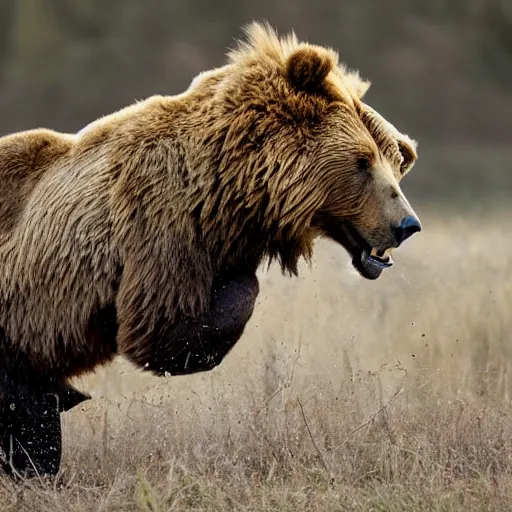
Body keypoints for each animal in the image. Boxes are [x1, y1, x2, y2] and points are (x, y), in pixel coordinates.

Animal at [0, 22, 420, 478]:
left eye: (396, 161)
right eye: (363, 161)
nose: (406, 225)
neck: (231, 191)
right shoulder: (160, 221)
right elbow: (157, 324)